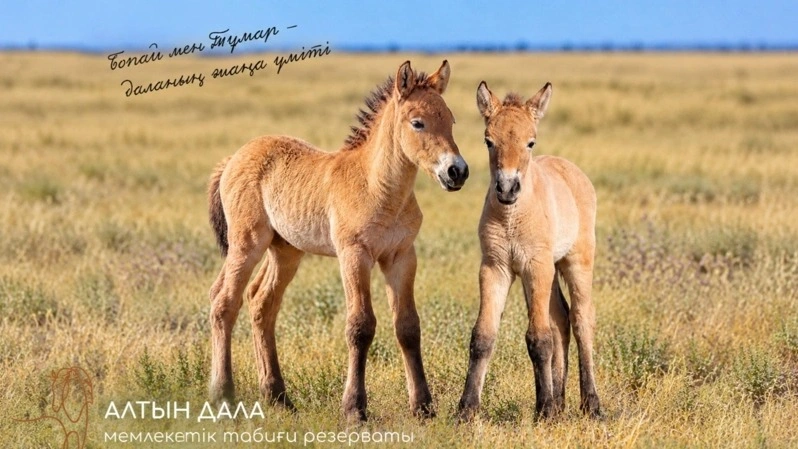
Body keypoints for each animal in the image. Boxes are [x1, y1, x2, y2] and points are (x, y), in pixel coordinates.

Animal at [207, 60, 468, 422]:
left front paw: (423, 407)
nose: (457, 172)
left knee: (260, 302)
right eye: (417, 123)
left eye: (451, 120)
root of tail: (233, 158)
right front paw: (355, 408)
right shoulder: (354, 255)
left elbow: (408, 326)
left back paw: (278, 397)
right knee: (224, 302)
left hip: (285, 251)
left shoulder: (401, 255)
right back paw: (223, 396)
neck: (379, 188)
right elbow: (360, 326)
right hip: (247, 243)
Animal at [457, 81, 601, 420]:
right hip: (541, 271)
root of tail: (573, 170)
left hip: (575, 262)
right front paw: (466, 409)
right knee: (561, 320)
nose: (507, 188)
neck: (512, 218)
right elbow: (483, 336)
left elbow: (538, 338)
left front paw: (544, 410)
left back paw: (590, 404)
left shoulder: (536, 266)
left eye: (530, 142)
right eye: (488, 141)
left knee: (581, 319)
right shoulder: (496, 268)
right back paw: (560, 402)